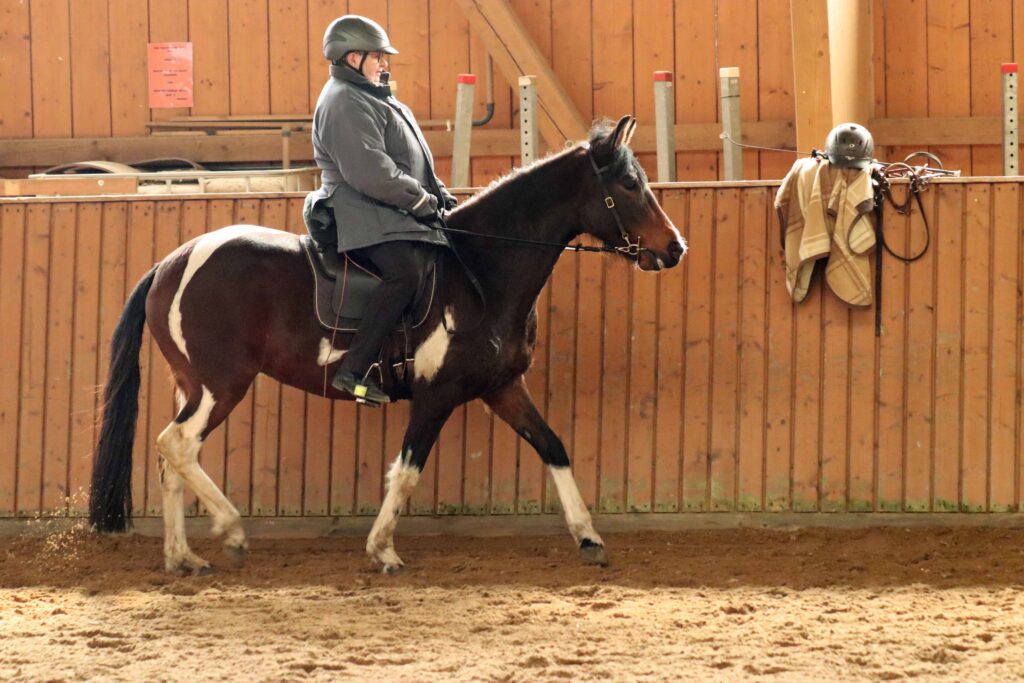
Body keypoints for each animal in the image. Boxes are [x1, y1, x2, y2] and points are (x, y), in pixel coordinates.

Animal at [90, 114, 688, 573]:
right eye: (628, 184)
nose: (675, 247)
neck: (480, 271)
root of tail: (171, 263)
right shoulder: (437, 394)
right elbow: (407, 470)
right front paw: (383, 550)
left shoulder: (501, 388)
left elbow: (553, 447)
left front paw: (589, 538)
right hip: (221, 383)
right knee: (177, 444)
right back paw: (232, 533)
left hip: (193, 385)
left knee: (172, 458)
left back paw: (182, 558)